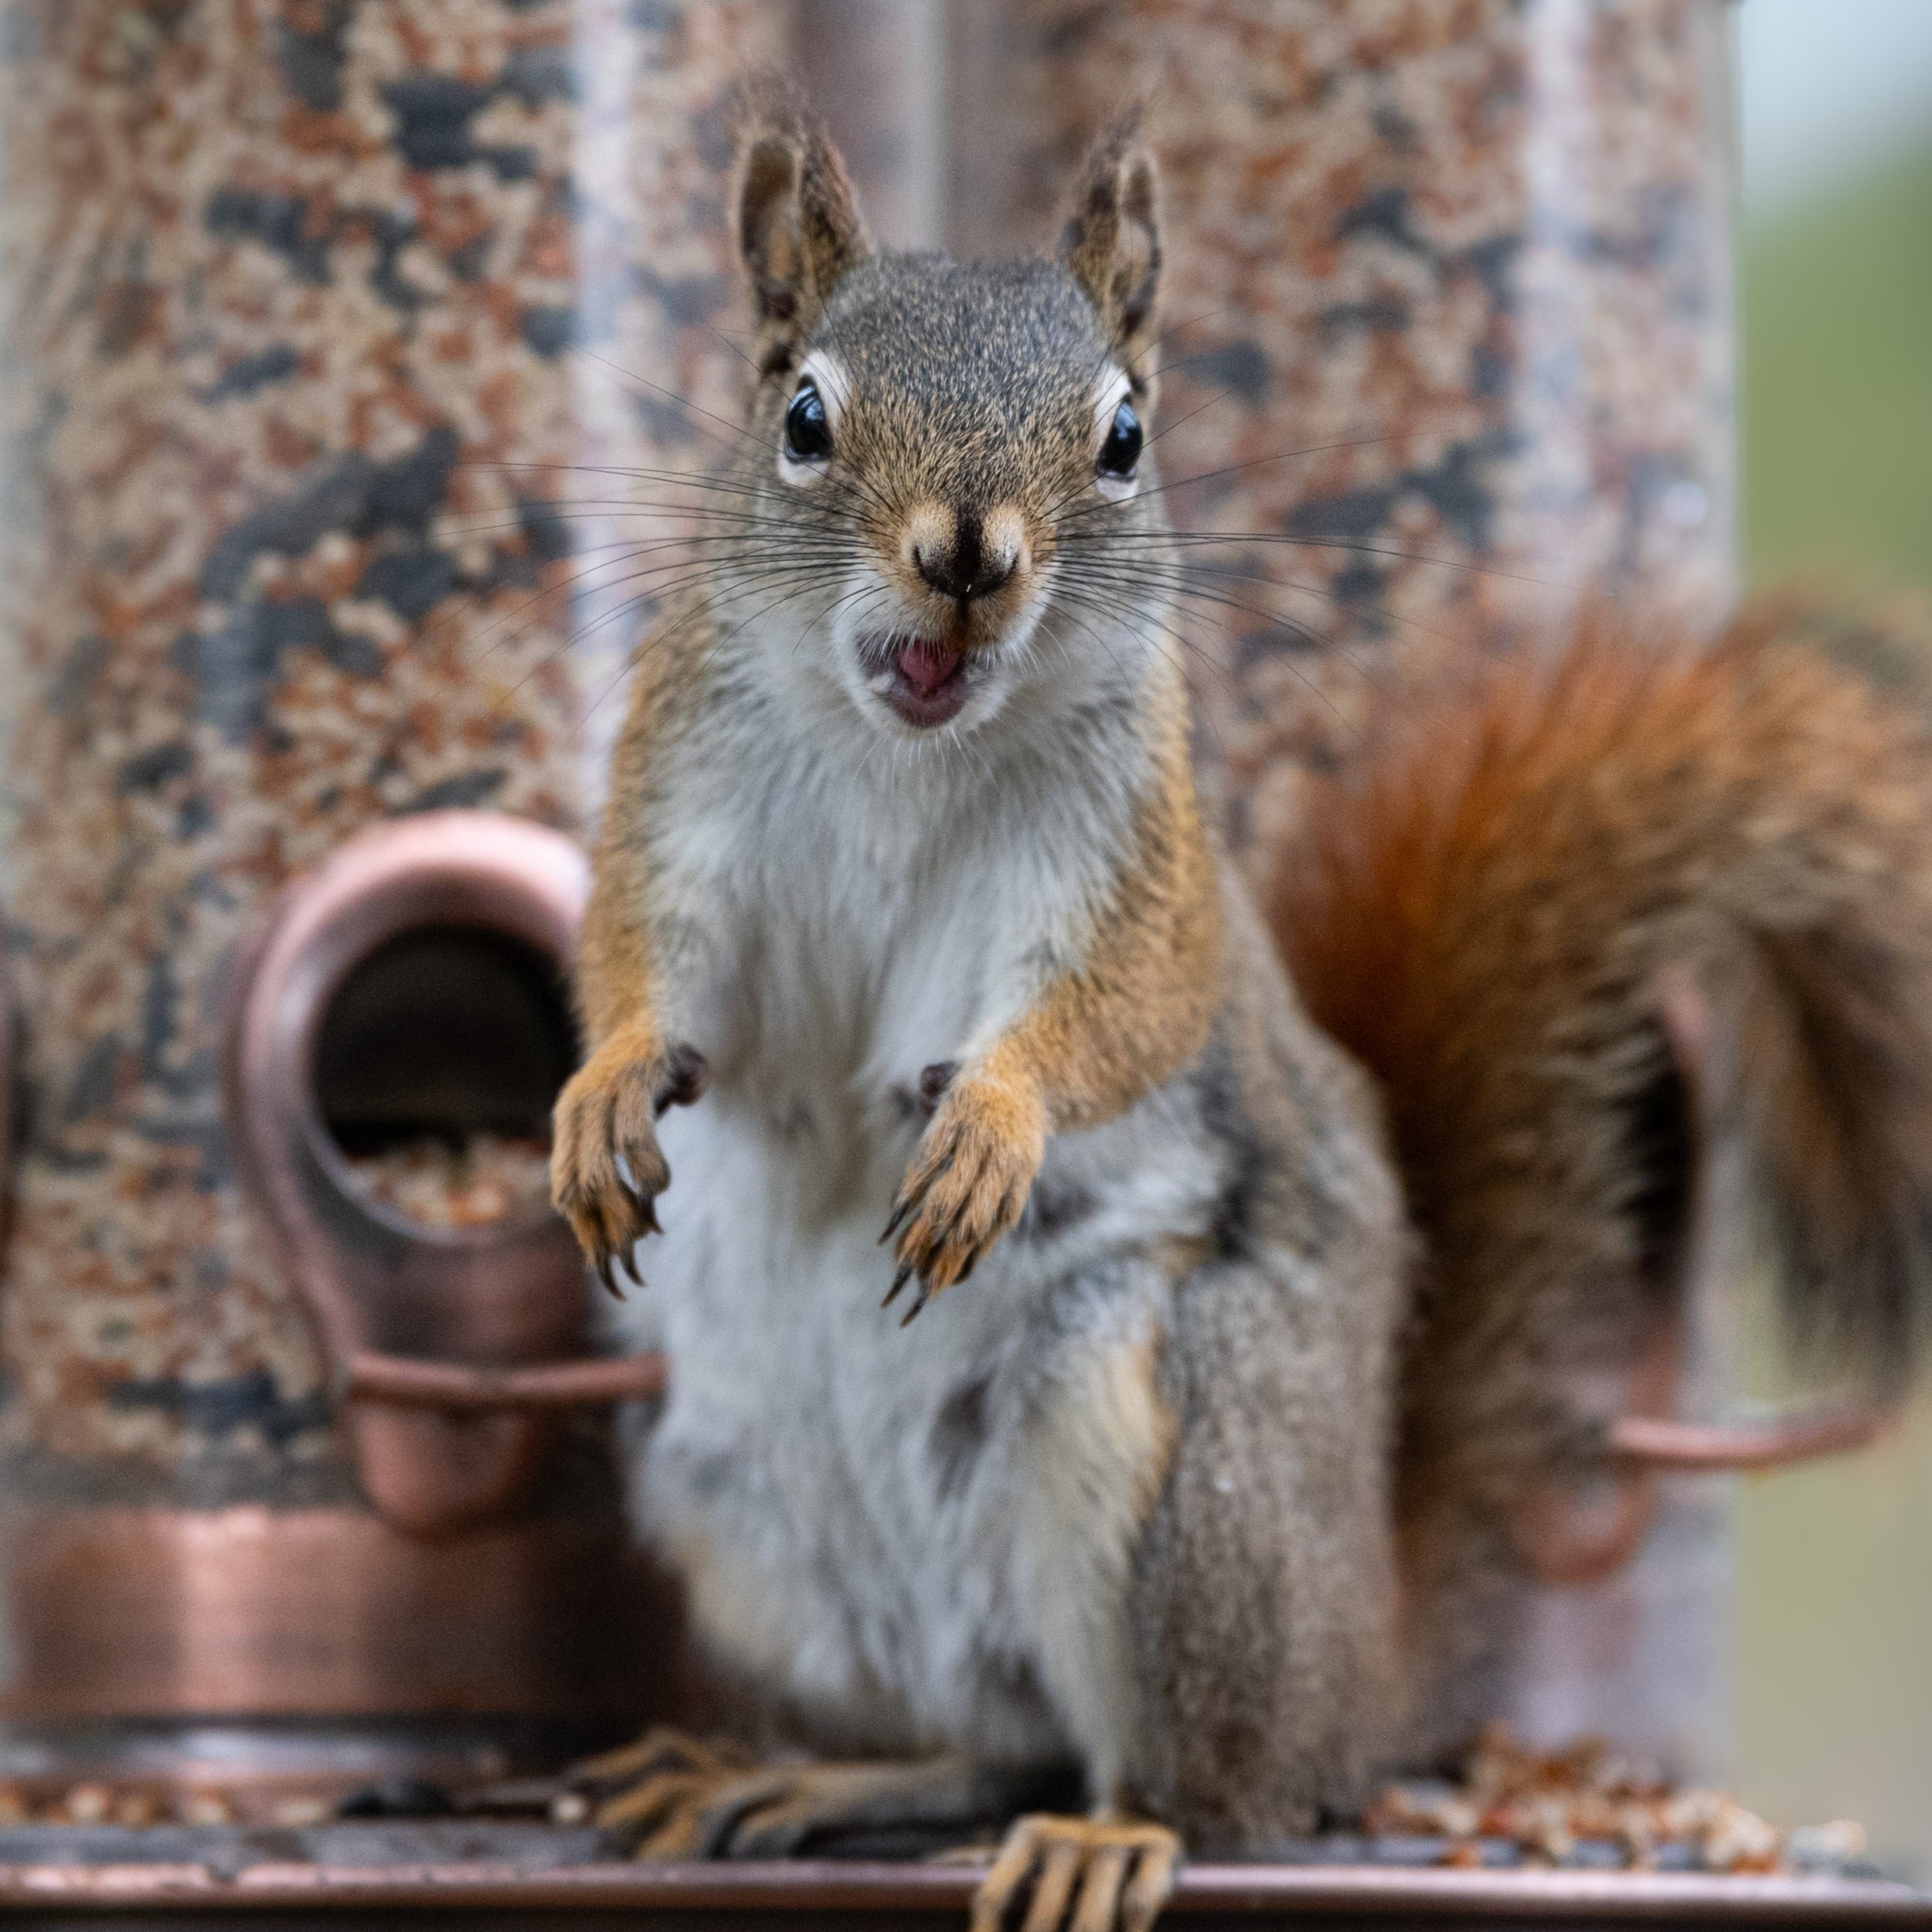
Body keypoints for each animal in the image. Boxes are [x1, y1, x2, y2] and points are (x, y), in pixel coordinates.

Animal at [549, 88, 1932, 1932]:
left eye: (1125, 433)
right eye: (802, 416)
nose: (969, 556)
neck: (903, 750)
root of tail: (1363, 1660)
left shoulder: (1141, 869)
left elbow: (1118, 1013)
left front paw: (989, 1127)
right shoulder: (685, 785)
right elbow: (646, 959)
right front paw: (601, 1097)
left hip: (1169, 1463)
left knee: (1195, 1778)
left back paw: (1117, 1831)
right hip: (733, 1498)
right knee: (988, 1739)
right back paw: (807, 1772)